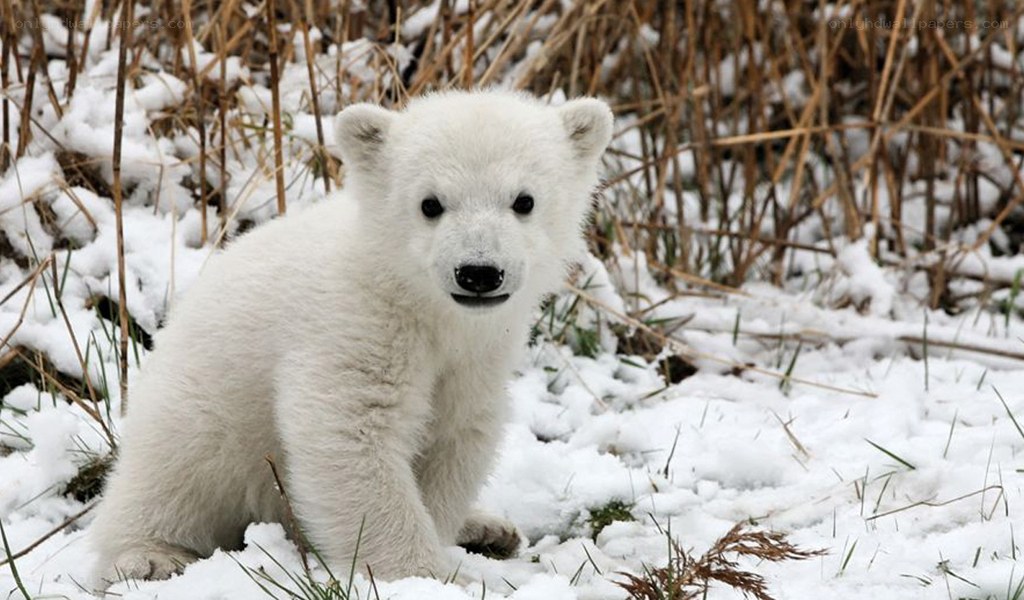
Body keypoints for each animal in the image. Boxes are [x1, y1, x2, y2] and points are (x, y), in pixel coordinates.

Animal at [88, 89, 613, 587]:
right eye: (430, 203)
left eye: (524, 200)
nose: (479, 272)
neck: (416, 300)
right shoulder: (353, 325)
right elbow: (350, 433)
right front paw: (425, 575)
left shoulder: (477, 356)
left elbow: (455, 435)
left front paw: (448, 540)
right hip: (201, 410)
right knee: (172, 474)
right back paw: (150, 556)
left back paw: (488, 527)